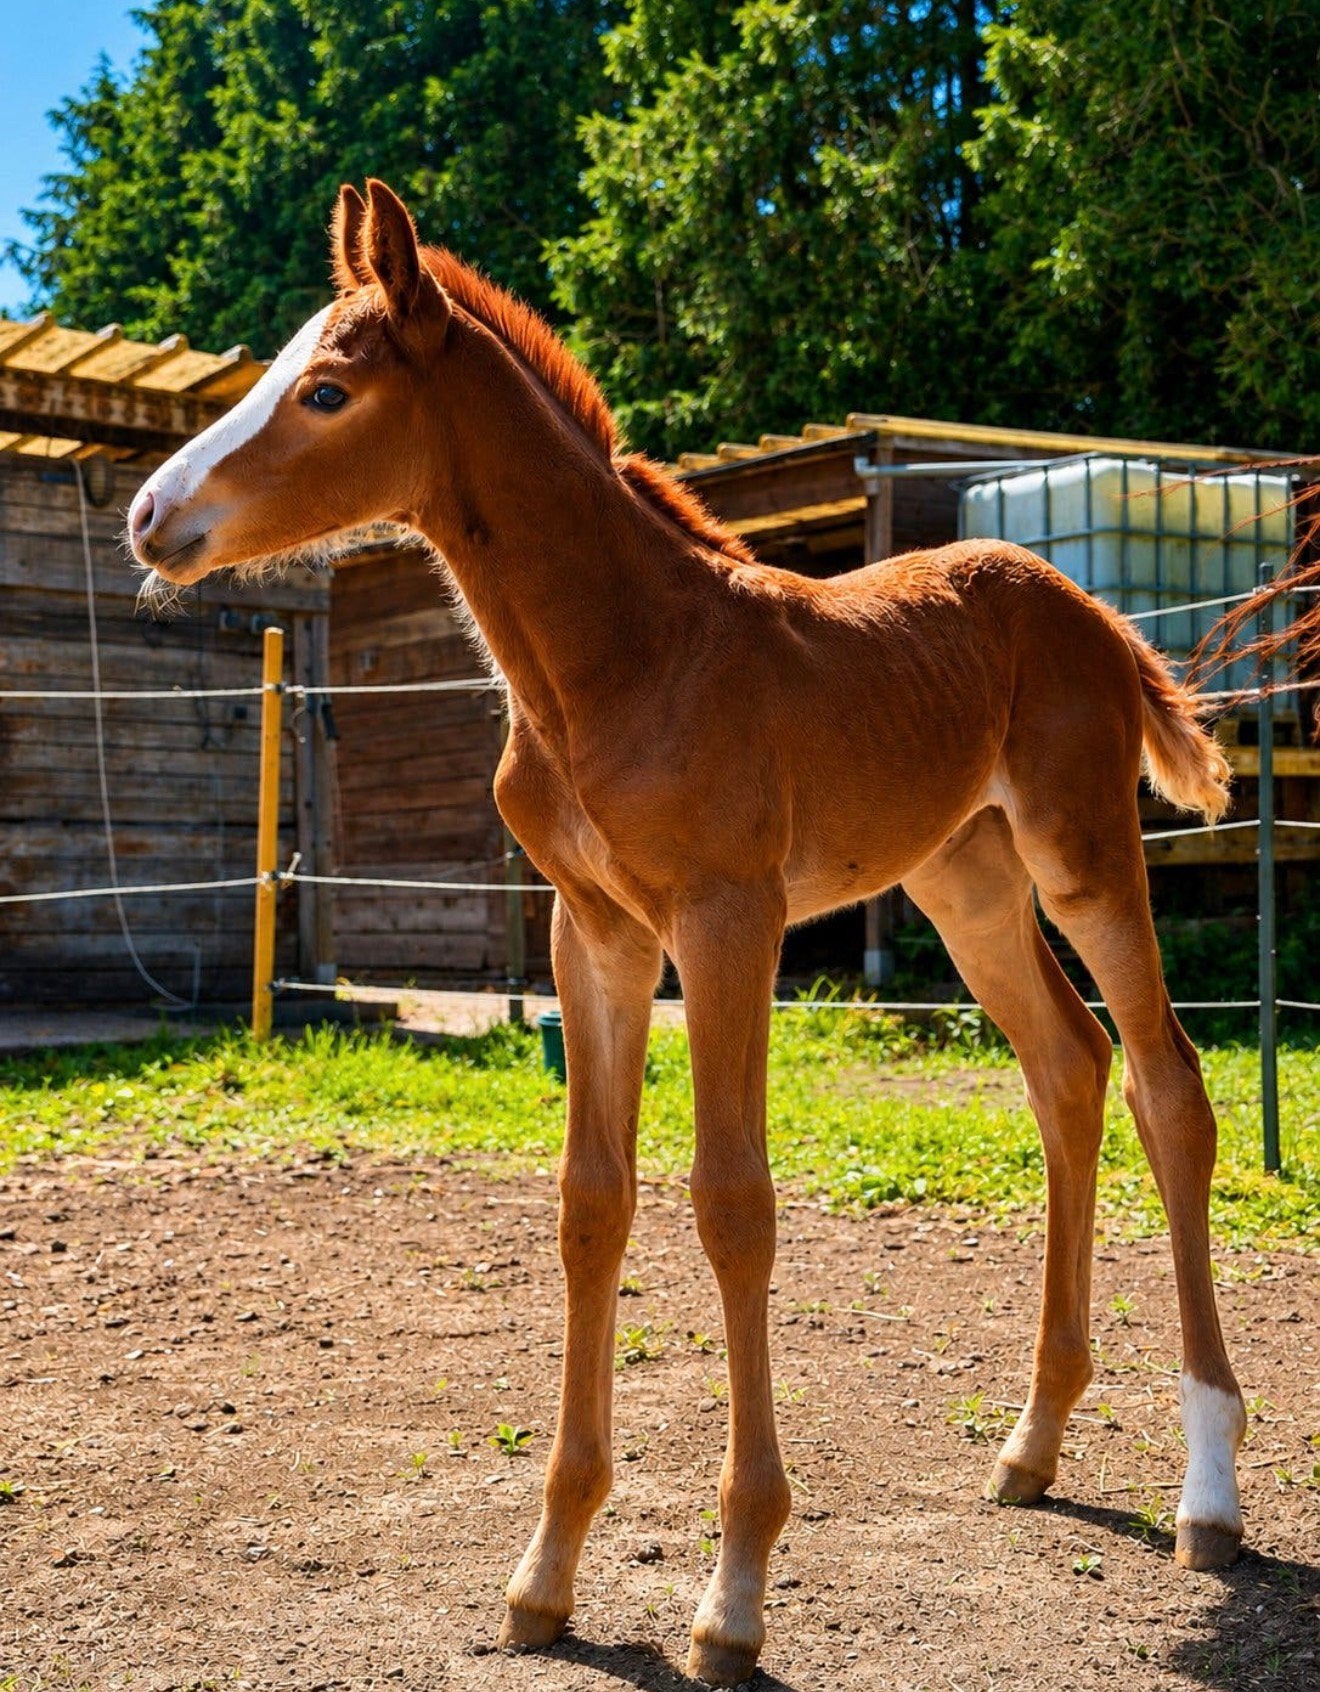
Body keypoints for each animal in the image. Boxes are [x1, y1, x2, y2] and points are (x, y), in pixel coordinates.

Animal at [127, 179, 1248, 1687]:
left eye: (325, 390)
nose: (150, 517)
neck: (622, 662)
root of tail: (1096, 614)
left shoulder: (728, 922)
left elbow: (733, 1205)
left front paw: (734, 1593)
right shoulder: (594, 936)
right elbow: (592, 1205)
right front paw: (545, 1576)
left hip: (1083, 859)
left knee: (1169, 1086)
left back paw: (1209, 1493)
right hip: (965, 883)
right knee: (1068, 1069)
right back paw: (1032, 1443)